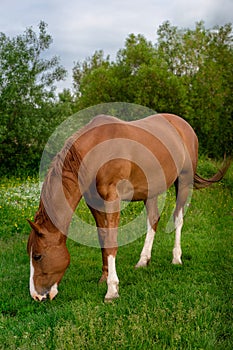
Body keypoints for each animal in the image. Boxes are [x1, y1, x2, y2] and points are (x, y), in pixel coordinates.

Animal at [26, 113, 228, 302]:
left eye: (38, 256)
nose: (36, 296)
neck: (97, 153)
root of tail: (183, 125)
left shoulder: (112, 199)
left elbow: (111, 241)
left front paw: (112, 290)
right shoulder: (94, 203)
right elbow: (103, 238)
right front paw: (104, 278)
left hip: (184, 181)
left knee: (178, 218)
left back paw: (176, 258)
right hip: (151, 190)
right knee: (153, 219)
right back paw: (143, 260)